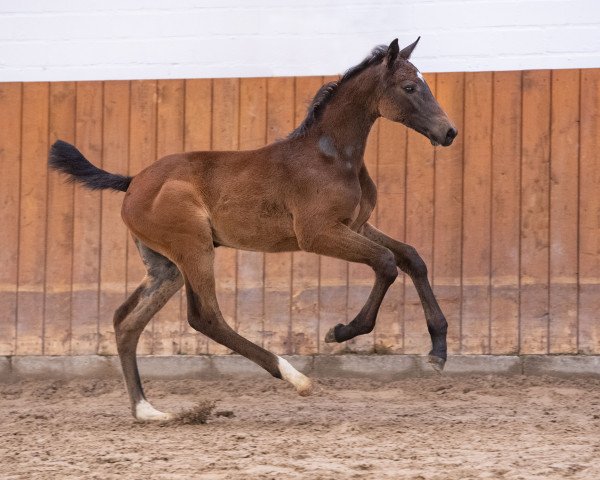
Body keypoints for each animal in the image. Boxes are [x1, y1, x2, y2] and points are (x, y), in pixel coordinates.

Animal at [49, 38, 458, 420]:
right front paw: (340, 331)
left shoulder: (355, 224)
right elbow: (386, 262)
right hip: (193, 248)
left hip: (166, 266)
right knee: (205, 317)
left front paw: (438, 350)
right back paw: (297, 378)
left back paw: (147, 411)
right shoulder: (317, 233)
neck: (330, 157)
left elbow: (411, 257)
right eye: (409, 87)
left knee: (126, 321)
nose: (449, 132)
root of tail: (133, 182)